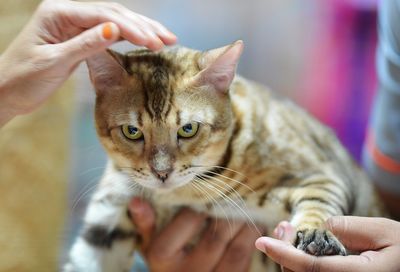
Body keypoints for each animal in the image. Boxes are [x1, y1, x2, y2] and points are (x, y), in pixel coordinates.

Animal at [65, 41, 384, 272]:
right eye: (131, 131)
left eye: (188, 128)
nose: (162, 172)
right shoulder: (108, 215)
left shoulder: (322, 172)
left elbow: (320, 201)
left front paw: (317, 233)